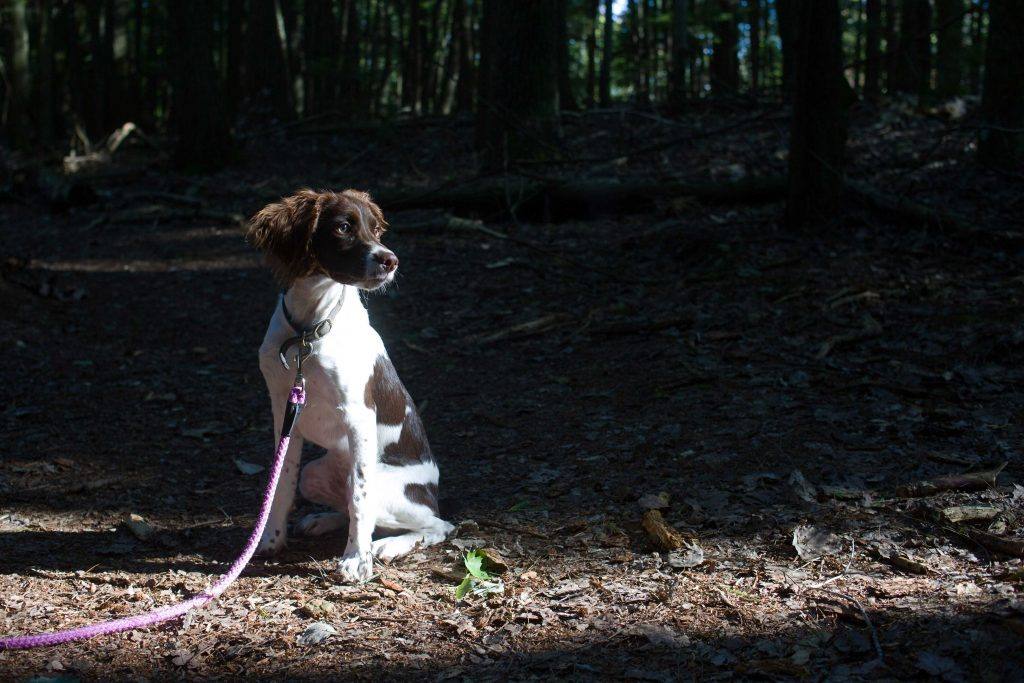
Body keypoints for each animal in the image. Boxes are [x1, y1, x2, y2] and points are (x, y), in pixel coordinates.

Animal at [243, 188, 452, 581]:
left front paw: (357, 558)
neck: (309, 329)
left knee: (437, 525)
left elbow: (360, 497)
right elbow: (281, 484)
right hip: (315, 473)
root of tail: (430, 490)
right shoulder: (284, 411)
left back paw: (388, 545)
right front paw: (270, 538)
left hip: (394, 490)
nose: (391, 260)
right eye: (343, 227)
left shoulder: (359, 415)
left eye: (377, 230)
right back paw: (325, 520)